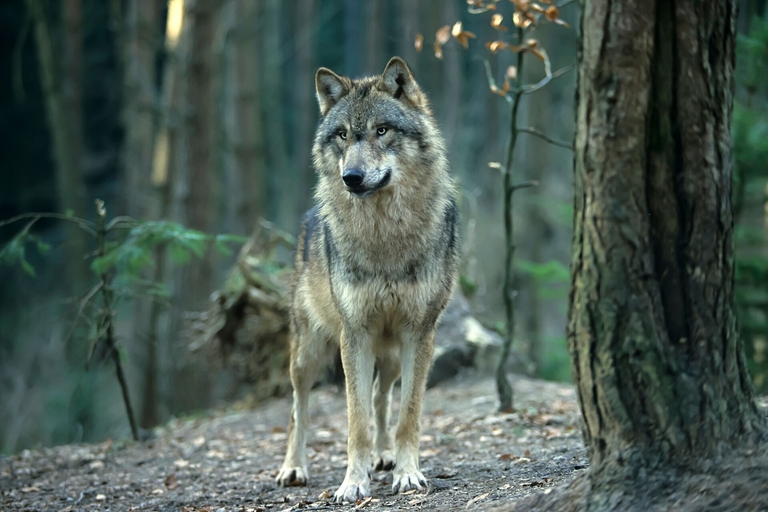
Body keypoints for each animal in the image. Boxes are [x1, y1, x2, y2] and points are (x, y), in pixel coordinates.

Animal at [274, 57, 456, 504]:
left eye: (382, 130)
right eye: (342, 135)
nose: (351, 177)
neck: (384, 235)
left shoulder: (419, 333)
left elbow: (408, 414)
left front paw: (407, 474)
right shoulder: (354, 334)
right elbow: (354, 421)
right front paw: (352, 483)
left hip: (388, 352)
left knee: (381, 396)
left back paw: (385, 455)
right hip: (308, 353)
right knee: (297, 409)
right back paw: (293, 468)